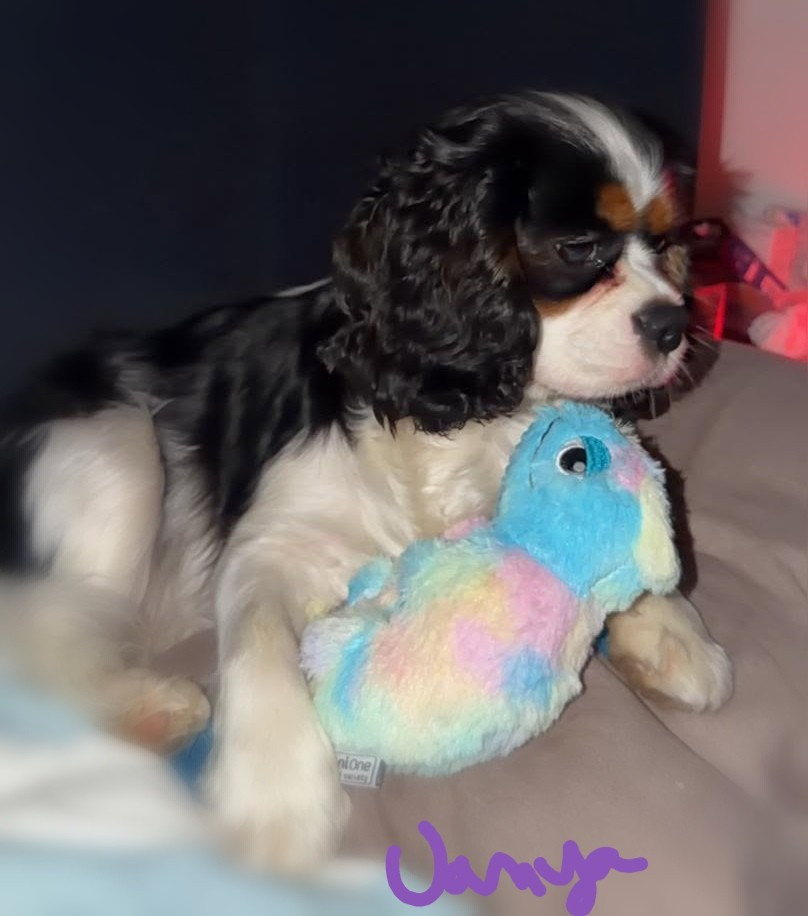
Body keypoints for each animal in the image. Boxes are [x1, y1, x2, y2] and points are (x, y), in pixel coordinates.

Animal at [0, 92, 732, 869]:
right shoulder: (269, 548)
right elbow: (260, 645)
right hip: (116, 445)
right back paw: (153, 707)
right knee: (45, 644)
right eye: (577, 248)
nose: (674, 324)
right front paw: (276, 800)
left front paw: (676, 636)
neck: (462, 413)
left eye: (669, 242)